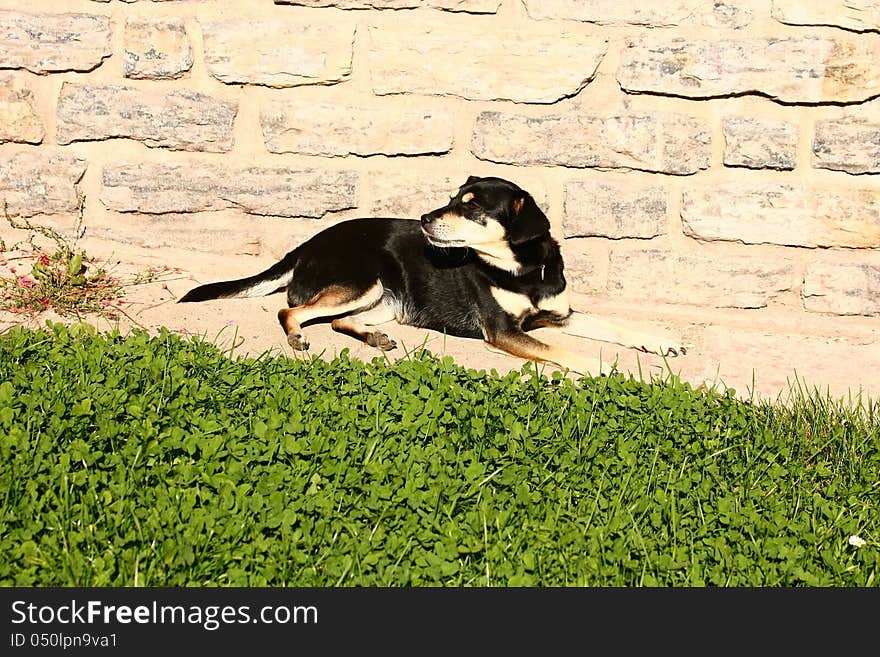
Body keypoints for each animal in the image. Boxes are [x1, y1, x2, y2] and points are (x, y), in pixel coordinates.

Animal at [180, 176, 688, 374]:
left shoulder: (557, 315)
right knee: (292, 312)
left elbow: (617, 325)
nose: (425, 217)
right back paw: (298, 339)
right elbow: (562, 351)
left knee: (339, 321)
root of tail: (303, 246)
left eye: (473, 207)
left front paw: (661, 341)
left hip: (387, 300)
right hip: (364, 281)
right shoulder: (504, 332)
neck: (523, 270)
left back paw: (374, 339)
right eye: (451, 199)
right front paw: (606, 366)